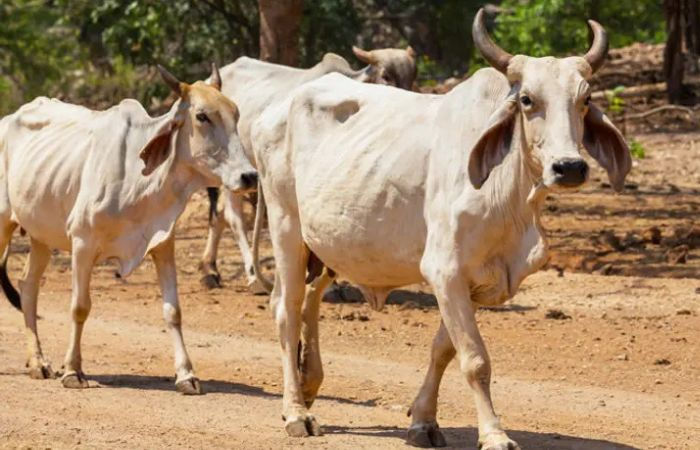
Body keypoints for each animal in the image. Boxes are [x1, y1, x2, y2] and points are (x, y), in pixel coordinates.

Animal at [0, 64, 255, 395]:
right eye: (202, 116)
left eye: (235, 113)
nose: (249, 176)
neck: (140, 179)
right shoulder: (82, 242)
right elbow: (79, 307)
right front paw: (73, 370)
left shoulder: (163, 243)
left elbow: (173, 312)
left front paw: (186, 374)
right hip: (4, 221)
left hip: (40, 234)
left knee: (28, 285)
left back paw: (39, 362)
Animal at [200, 47, 417, 292]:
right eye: (386, 75)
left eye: (413, 76)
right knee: (233, 217)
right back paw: (252, 275)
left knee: (217, 215)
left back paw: (210, 270)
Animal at [251, 9, 631, 449]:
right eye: (526, 100)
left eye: (585, 100)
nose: (569, 167)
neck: (510, 197)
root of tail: (278, 107)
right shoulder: (445, 270)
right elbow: (475, 360)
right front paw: (494, 434)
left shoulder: (476, 281)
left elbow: (443, 351)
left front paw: (423, 422)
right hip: (285, 225)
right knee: (287, 308)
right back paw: (297, 412)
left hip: (327, 244)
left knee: (311, 299)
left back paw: (309, 385)